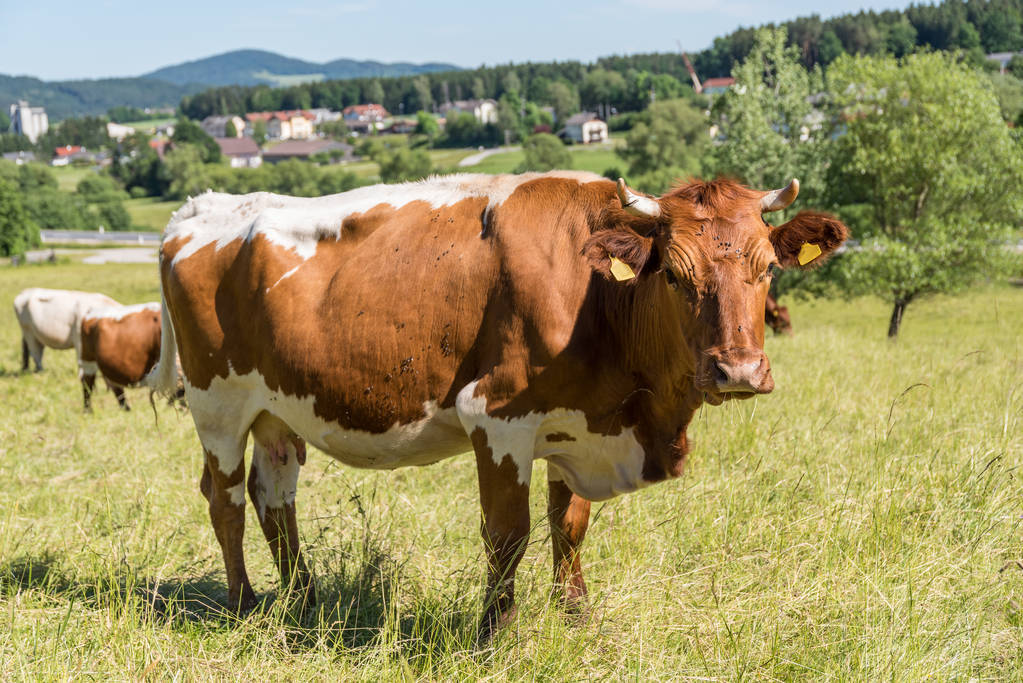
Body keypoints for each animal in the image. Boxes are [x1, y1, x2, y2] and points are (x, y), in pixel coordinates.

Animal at [149, 171, 847, 642]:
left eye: (767, 269)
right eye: (674, 274)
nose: (738, 370)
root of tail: (204, 208)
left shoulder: (580, 427)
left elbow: (569, 527)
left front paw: (577, 615)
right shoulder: (497, 415)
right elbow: (507, 533)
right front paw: (498, 630)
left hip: (278, 410)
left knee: (274, 496)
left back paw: (304, 600)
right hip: (217, 405)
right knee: (226, 499)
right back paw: (244, 603)